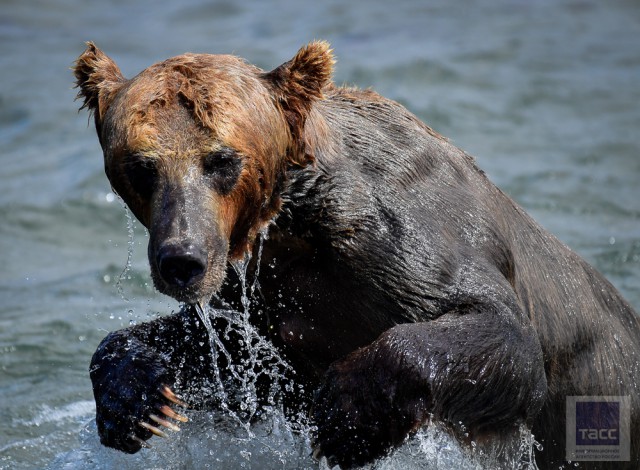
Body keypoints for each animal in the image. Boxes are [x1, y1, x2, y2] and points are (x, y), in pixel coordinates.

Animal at [72, 42, 636, 468]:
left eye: (221, 160)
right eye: (142, 166)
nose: (181, 259)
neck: (291, 229)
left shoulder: (403, 241)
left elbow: (506, 338)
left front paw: (348, 417)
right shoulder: (266, 304)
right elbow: (217, 351)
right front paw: (139, 398)